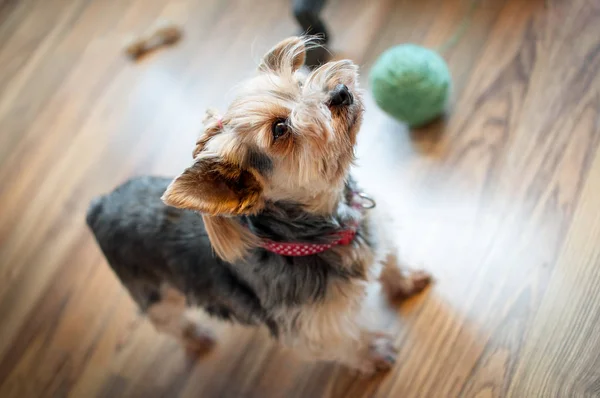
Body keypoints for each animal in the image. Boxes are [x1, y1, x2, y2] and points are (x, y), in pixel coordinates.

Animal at [86, 36, 428, 374]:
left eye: (300, 82)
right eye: (279, 129)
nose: (341, 92)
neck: (324, 225)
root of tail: (99, 205)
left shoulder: (374, 227)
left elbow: (391, 260)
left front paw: (407, 280)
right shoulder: (314, 324)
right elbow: (347, 341)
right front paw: (376, 351)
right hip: (155, 293)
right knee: (167, 321)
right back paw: (197, 337)